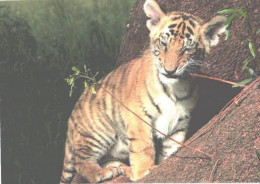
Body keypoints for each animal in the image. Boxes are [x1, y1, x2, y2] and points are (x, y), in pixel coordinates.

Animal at [60, 0, 226, 183]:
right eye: (164, 44)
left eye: (187, 49)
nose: (169, 71)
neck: (176, 87)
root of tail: (71, 116)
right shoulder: (137, 116)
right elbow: (144, 147)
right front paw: (143, 173)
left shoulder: (180, 123)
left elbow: (172, 148)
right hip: (99, 130)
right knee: (80, 161)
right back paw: (102, 173)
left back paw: (118, 168)